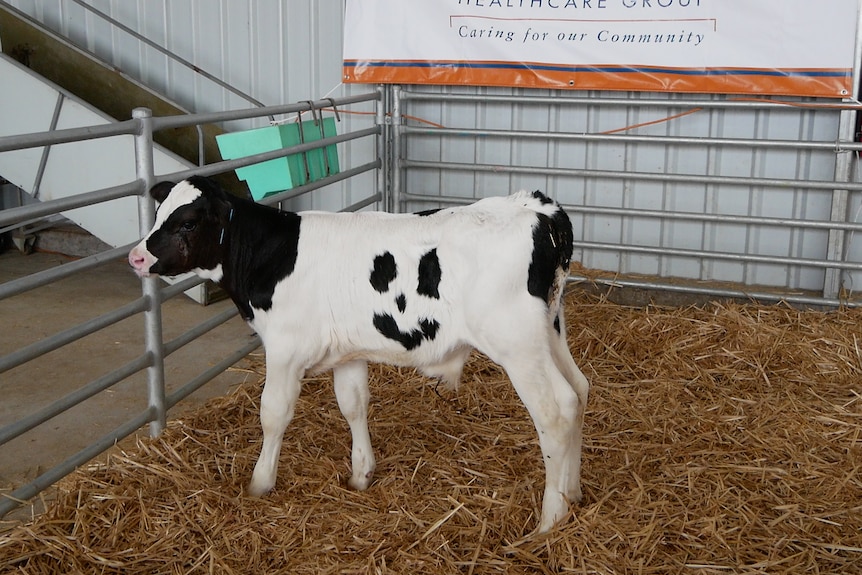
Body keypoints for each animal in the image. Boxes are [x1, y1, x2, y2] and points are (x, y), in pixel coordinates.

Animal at [130, 177, 592, 536]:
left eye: (187, 221)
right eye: (157, 213)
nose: (137, 256)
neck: (273, 254)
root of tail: (534, 206)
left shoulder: (283, 348)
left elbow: (273, 414)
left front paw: (260, 483)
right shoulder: (346, 352)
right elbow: (353, 405)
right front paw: (361, 473)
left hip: (517, 343)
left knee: (555, 412)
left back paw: (550, 518)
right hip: (550, 331)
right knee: (579, 391)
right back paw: (572, 492)